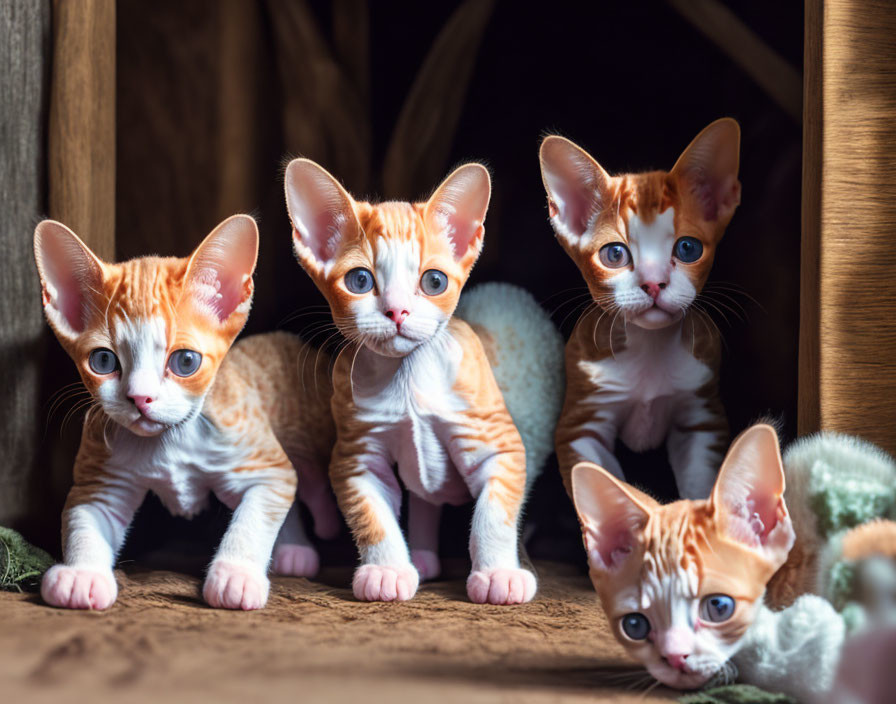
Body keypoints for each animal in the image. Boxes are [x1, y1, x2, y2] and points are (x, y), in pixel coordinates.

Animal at [33, 214, 336, 612]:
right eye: (103, 361)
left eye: (185, 362)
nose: (140, 397)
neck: (169, 442)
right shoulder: (103, 477)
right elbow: (85, 516)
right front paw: (81, 574)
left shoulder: (259, 459)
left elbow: (256, 513)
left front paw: (235, 573)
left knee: (309, 481)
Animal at [282, 160, 560, 604]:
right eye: (359, 281)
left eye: (434, 282)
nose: (398, 312)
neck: (407, 379)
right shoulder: (357, 452)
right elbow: (372, 513)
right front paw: (387, 570)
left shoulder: (497, 441)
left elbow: (494, 512)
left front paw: (499, 573)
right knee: (426, 496)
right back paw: (425, 558)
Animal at [540, 118, 744, 498]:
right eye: (614, 254)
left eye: (689, 248)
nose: (653, 283)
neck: (650, 348)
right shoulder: (580, 424)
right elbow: (597, 478)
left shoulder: (701, 414)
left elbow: (700, 479)